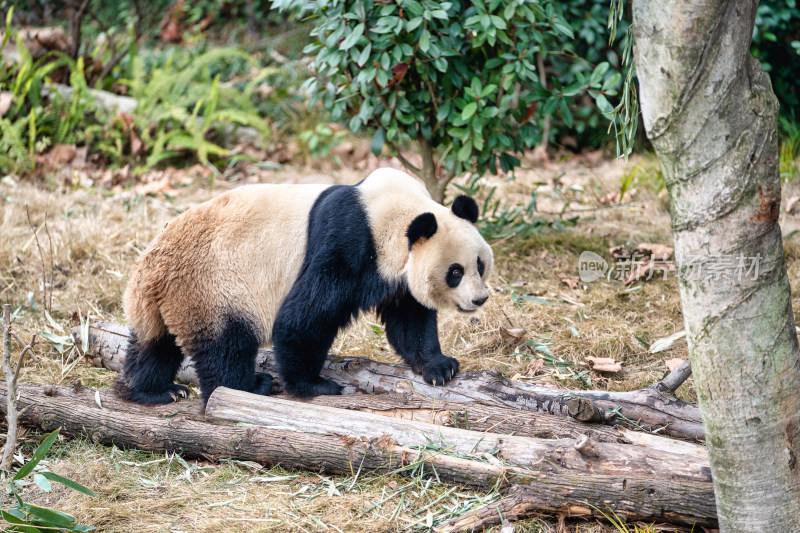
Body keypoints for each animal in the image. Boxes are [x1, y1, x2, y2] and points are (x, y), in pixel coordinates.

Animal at [116, 166, 494, 404]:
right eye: (455, 272)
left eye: (479, 264)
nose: (479, 300)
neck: (393, 211)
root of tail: (149, 273)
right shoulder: (349, 242)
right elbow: (305, 316)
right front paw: (314, 384)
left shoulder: (395, 270)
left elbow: (410, 319)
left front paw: (439, 367)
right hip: (213, 287)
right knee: (225, 345)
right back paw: (248, 386)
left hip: (168, 300)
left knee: (155, 344)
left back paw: (155, 391)